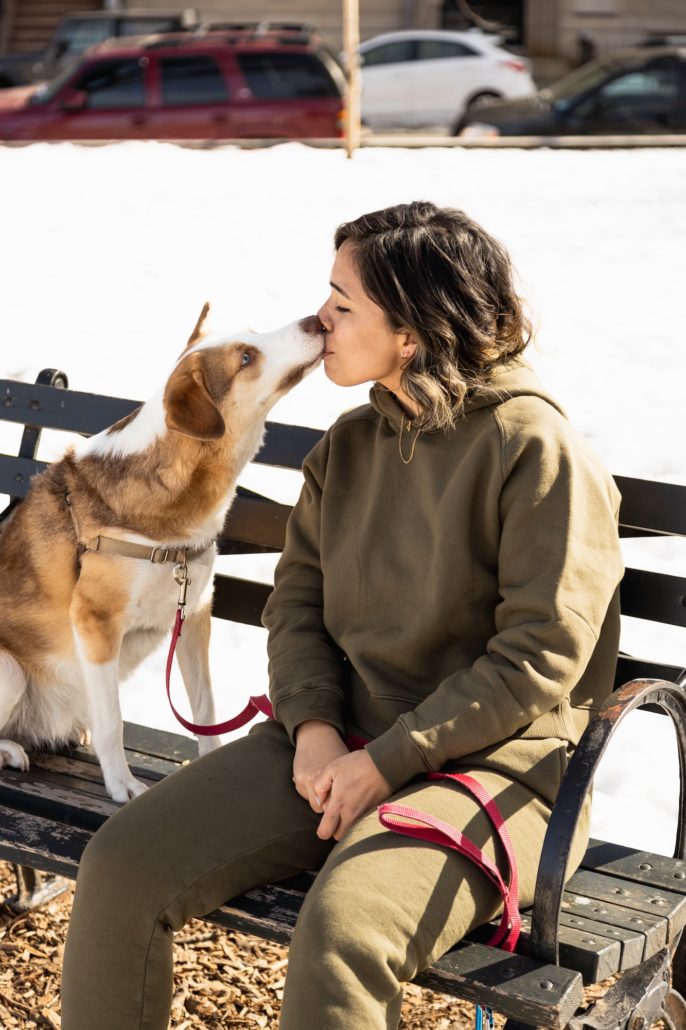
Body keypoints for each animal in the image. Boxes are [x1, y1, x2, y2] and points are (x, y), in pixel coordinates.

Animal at [0, 304, 325, 803]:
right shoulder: (95, 620)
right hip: (10, 670)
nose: (316, 320)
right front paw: (121, 784)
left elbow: (206, 712)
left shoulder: (193, 614)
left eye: (253, 334)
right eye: (246, 357)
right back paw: (10, 749)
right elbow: (113, 721)